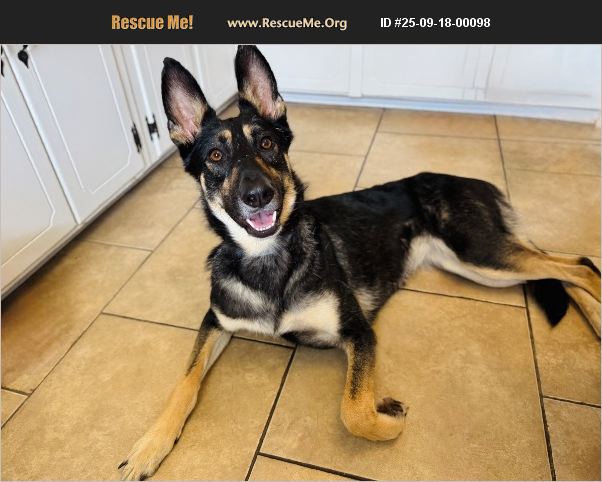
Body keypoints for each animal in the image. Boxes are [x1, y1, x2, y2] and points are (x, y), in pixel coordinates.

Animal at [118, 45, 601, 480]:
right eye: (216, 157)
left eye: (268, 143)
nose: (259, 196)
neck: (269, 259)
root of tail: (474, 181)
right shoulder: (214, 322)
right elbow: (183, 383)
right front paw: (148, 446)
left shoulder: (358, 331)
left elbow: (354, 412)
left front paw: (388, 413)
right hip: (477, 264)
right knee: (568, 262)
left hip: (480, 255)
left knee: (579, 266)